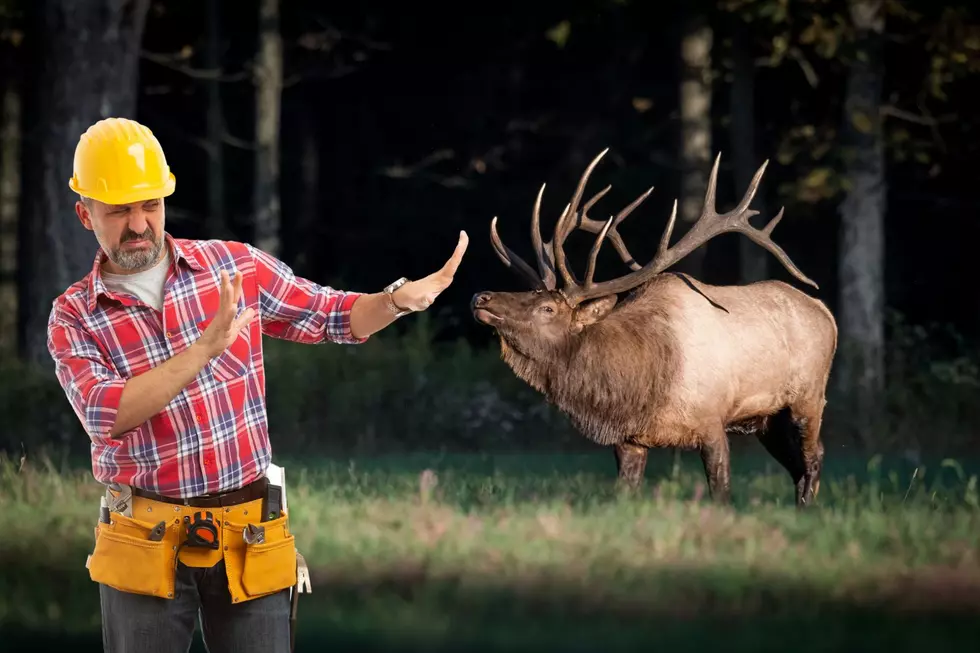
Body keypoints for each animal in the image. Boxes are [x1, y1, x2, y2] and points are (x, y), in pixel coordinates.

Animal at [472, 150, 836, 506]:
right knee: (799, 464)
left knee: (813, 457)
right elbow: (624, 494)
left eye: (547, 308)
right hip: (767, 419)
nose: (480, 296)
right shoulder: (629, 439)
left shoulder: (712, 421)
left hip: (808, 397)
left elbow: (721, 492)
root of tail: (826, 312)